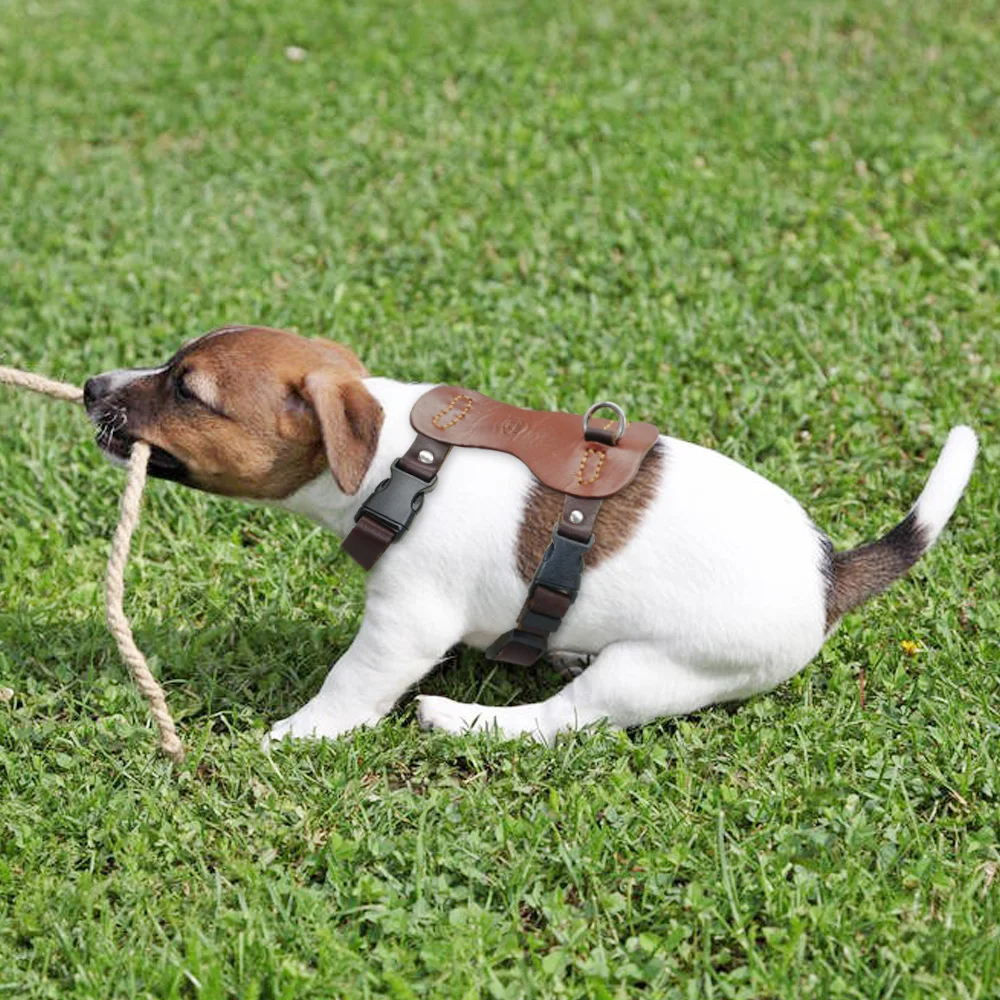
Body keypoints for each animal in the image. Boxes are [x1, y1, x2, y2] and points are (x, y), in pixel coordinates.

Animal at [84, 326, 976, 744]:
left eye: (188, 391)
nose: (92, 385)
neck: (403, 458)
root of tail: (831, 575)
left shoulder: (407, 622)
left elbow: (351, 683)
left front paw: (299, 734)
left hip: (653, 672)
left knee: (563, 723)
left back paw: (457, 717)